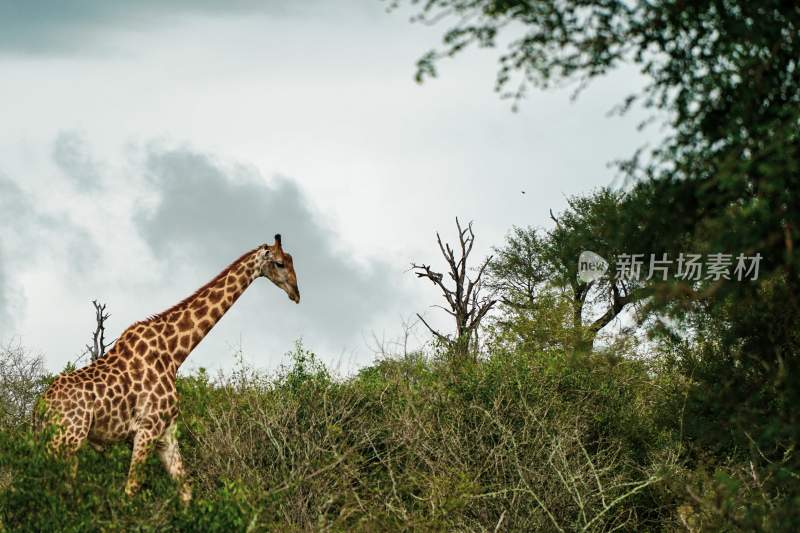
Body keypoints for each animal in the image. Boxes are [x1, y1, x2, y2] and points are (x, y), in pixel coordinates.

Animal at [36, 234, 298, 502]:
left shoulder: (166, 433)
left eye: (291, 261)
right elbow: (131, 488)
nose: (296, 293)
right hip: (67, 440)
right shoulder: (147, 428)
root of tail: (40, 407)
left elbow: (186, 491)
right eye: (279, 263)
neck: (173, 353)